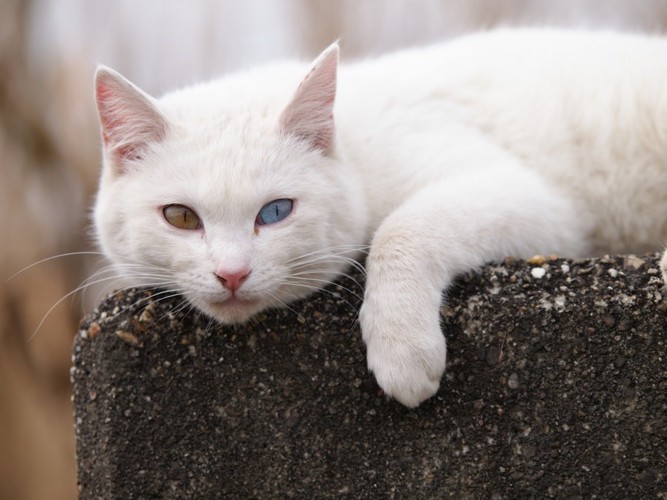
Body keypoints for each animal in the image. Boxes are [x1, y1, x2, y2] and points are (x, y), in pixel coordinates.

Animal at [92, 29, 667, 408]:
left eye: (275, 212)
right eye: (181, 217)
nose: (231, 274)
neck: (356, 147)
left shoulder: (532, 197)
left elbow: (400, 230)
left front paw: (402, 351)